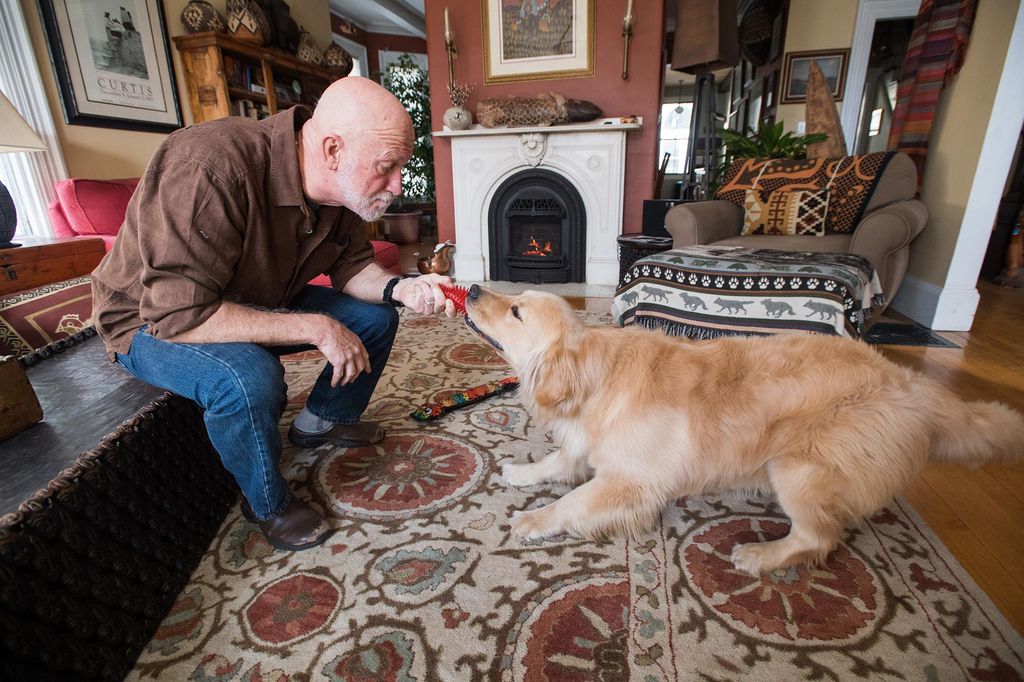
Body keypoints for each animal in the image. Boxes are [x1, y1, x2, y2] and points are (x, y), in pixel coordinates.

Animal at [464, 282, 1024, 573]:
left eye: (515, 310)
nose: (469, 287)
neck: (593, 376)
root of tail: (910, 382)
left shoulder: (632, 482)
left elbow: (574, 501)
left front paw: (535, 519)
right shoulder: (585, 443)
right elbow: (557, 462)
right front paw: (522, 473)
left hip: (796, 467)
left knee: (819, 537)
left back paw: (761, 555)